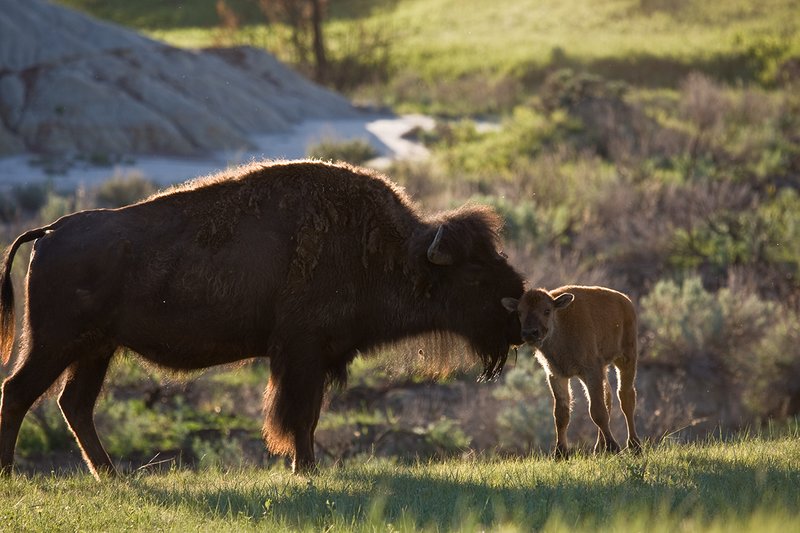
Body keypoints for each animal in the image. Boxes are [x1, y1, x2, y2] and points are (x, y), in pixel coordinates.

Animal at [0, 160, 525, 477]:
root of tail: (50, 230)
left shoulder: (314, 359)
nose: (518, 308)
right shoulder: (301, 354)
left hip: (95, 349)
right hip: (55, 343)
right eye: (475, 272)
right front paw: (305, 469)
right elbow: (299, 417)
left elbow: (308, 417)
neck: (385, 249)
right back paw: (12, 472)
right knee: (19, 391)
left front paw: (304, 468)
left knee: (74, 404)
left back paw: (111, 475)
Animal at [502, 285, 642, 457]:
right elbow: (561, 414)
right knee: (608, 396)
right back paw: (599, 448)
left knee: (625, 397)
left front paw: (613, 447)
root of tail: (625, 301)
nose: (529, 333)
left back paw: (634, 446)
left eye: (547, 310)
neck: (560, 325)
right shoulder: (556, 375)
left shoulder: (590, 371)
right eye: (520, 312)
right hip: (603, 368)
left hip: (626, 358)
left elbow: (597, 411)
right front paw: (560, 453)